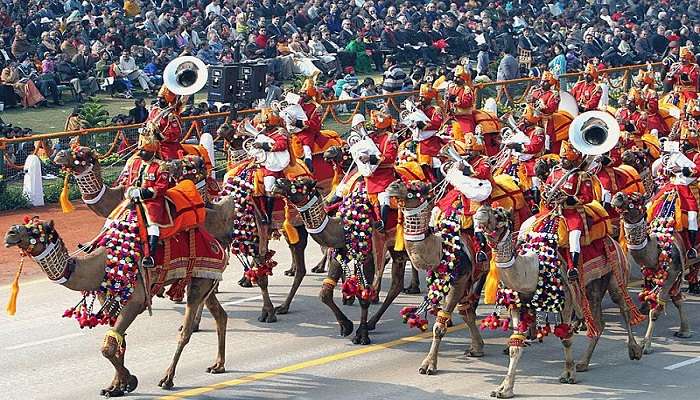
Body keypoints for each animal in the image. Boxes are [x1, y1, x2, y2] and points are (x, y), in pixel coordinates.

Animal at [474, 205, 644, 398]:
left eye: (501, 215)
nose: (482, 212)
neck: (533, 270)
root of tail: (612, 238)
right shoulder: (518, 305)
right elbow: (515, 345)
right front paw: (504, 389)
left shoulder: (566, 301)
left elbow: (566, 339)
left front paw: (569, 374)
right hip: (591, 288)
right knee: (599, 323)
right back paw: (583, 363)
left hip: (616, 272)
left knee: (623, 306)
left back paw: (635, 350)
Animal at [608, 191, 692, 354]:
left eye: (637, 199)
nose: (618, 196)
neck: (658, 249)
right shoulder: (657, 274)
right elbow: (677, 300)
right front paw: (684, 331)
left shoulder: (671, 274)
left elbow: (656, 310)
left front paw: (646, 345)